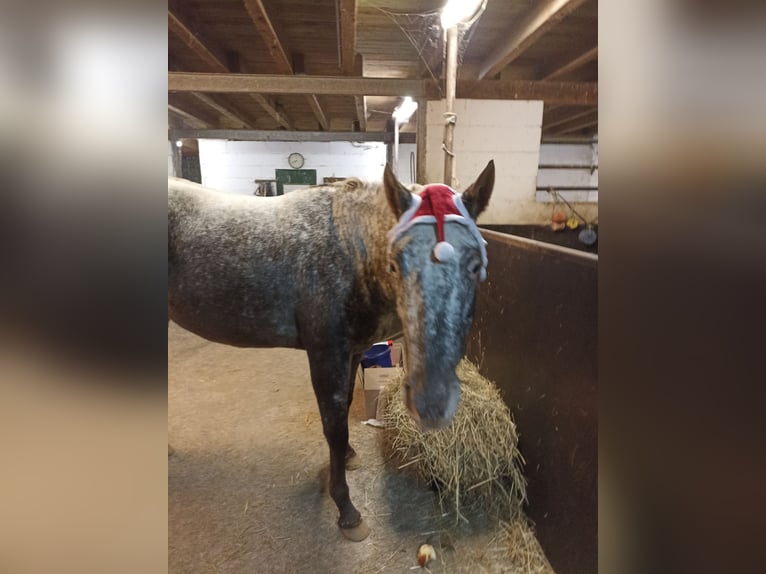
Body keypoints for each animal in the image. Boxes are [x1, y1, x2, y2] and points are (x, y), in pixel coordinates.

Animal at [166, 161, 498, 540]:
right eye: (395, 264)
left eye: (475, 264)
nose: (432, 404)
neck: (349, 251)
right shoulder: (326, 355)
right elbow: (335, 426)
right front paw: (347, 510)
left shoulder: (352, 352)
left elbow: (345, 410)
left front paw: (348, 458)